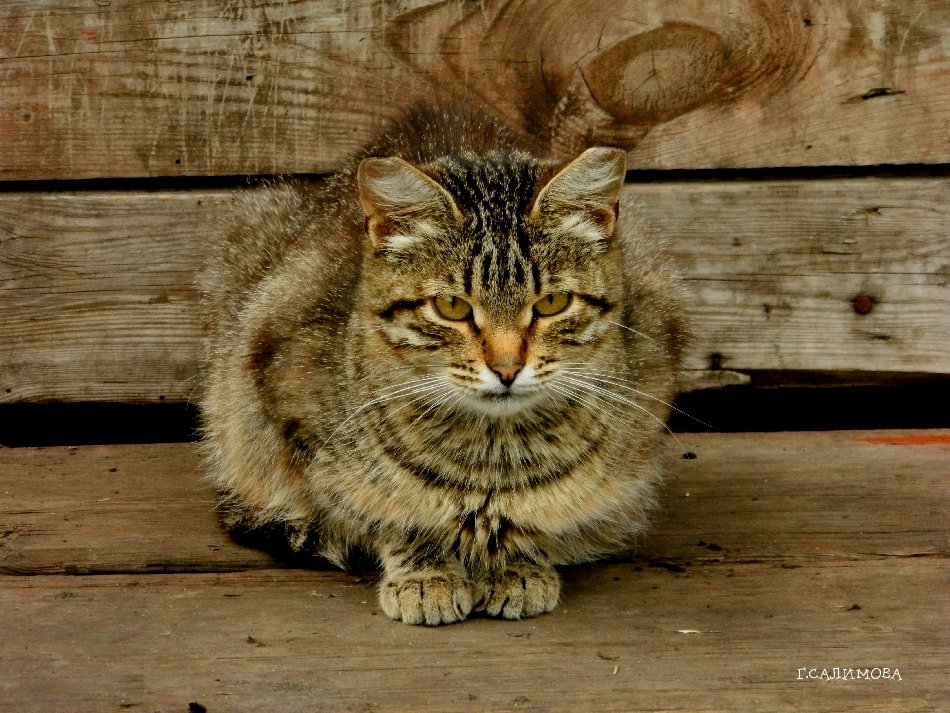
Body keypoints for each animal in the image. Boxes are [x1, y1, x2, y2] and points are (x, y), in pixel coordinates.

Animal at [197, 98, 688, 624]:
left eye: (553, 303)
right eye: (452, 307)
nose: (507, 368)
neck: (493, 457)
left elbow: (533, 520)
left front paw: (515, 565)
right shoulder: (291, 408)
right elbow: (392, 512)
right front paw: (425, 572)